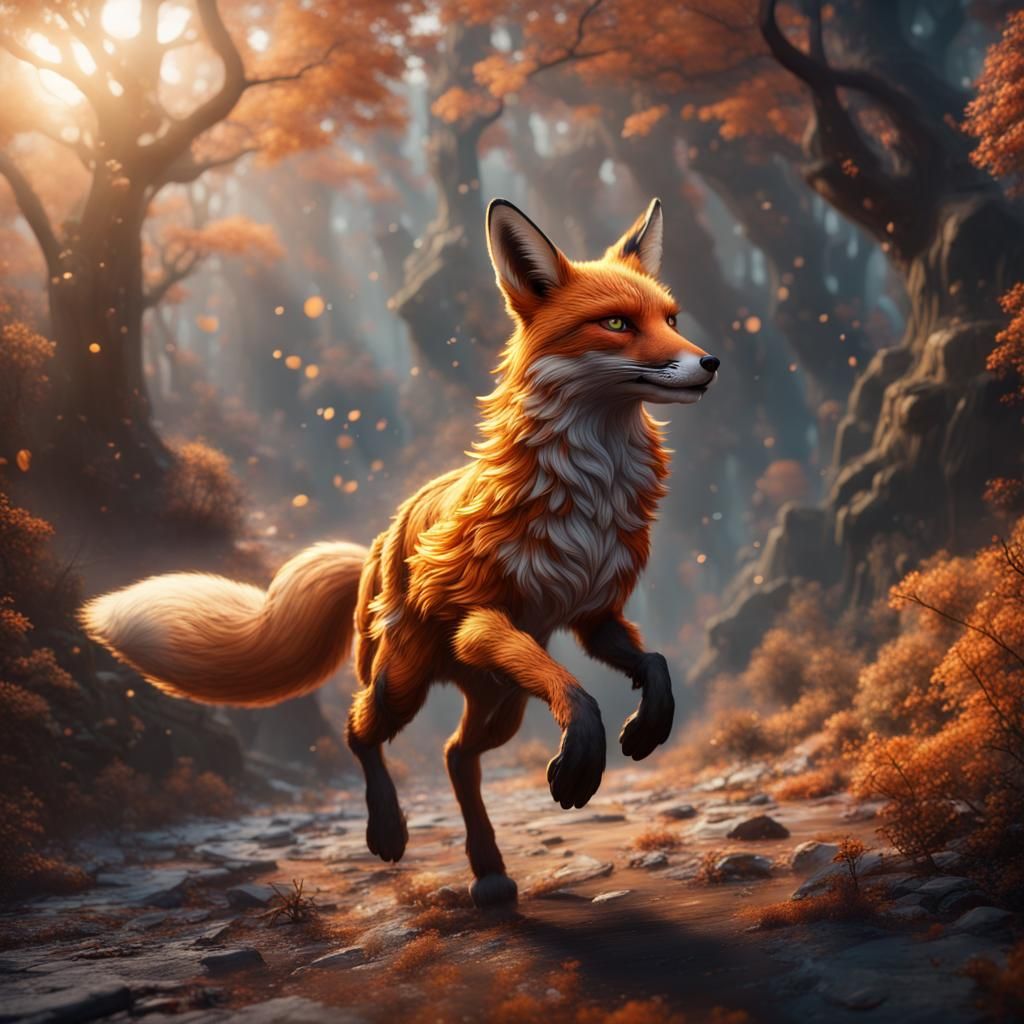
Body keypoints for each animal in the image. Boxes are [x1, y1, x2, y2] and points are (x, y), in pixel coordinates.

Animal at [81, 197, 719, 907]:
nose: (710, 362)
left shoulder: (593, 616)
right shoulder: (483, 620)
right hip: (405, 683)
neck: (586, 500)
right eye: (615, 323)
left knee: (455, 755)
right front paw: (582, 761)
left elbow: (655, 664)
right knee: (360, 732)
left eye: (671, 320)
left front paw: (647, 728)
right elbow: (577, 696)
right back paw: (388, 832)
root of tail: (376, 545)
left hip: (501, 702)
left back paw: (488, 870)